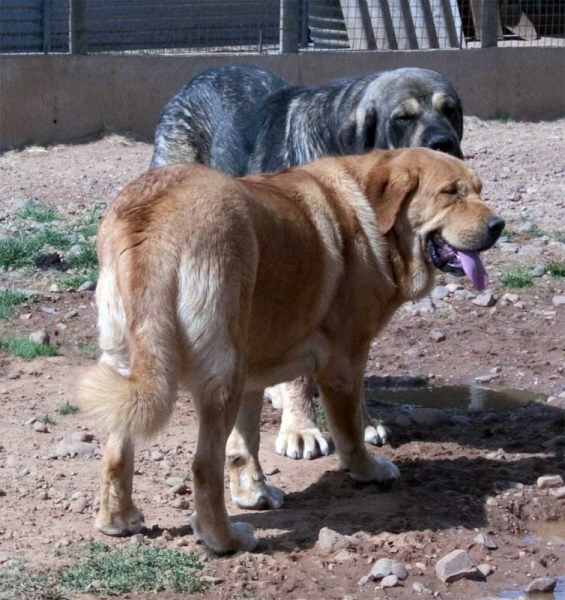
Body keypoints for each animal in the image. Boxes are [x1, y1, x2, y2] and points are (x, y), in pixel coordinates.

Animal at [79, 149, 502, 552]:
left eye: (479, 190)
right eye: (451, 193)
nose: (499, 225)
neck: (370, 214)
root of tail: (154, 213)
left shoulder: (252, 367)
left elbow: (245, 443)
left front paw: (253, 492)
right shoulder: (344, 361)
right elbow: (350, 431)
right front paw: (369, 471)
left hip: (132, 364)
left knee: (117, 451)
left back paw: (118, 520)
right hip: (222, 378)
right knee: (203, 467)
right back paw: (225, 540)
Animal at [149, 64, 462, 460]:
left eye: (450, 110)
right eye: (402, 118)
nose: (443, 144)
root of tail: (201, 75)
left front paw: (363, 420)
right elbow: (301, 377)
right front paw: (301, 428)